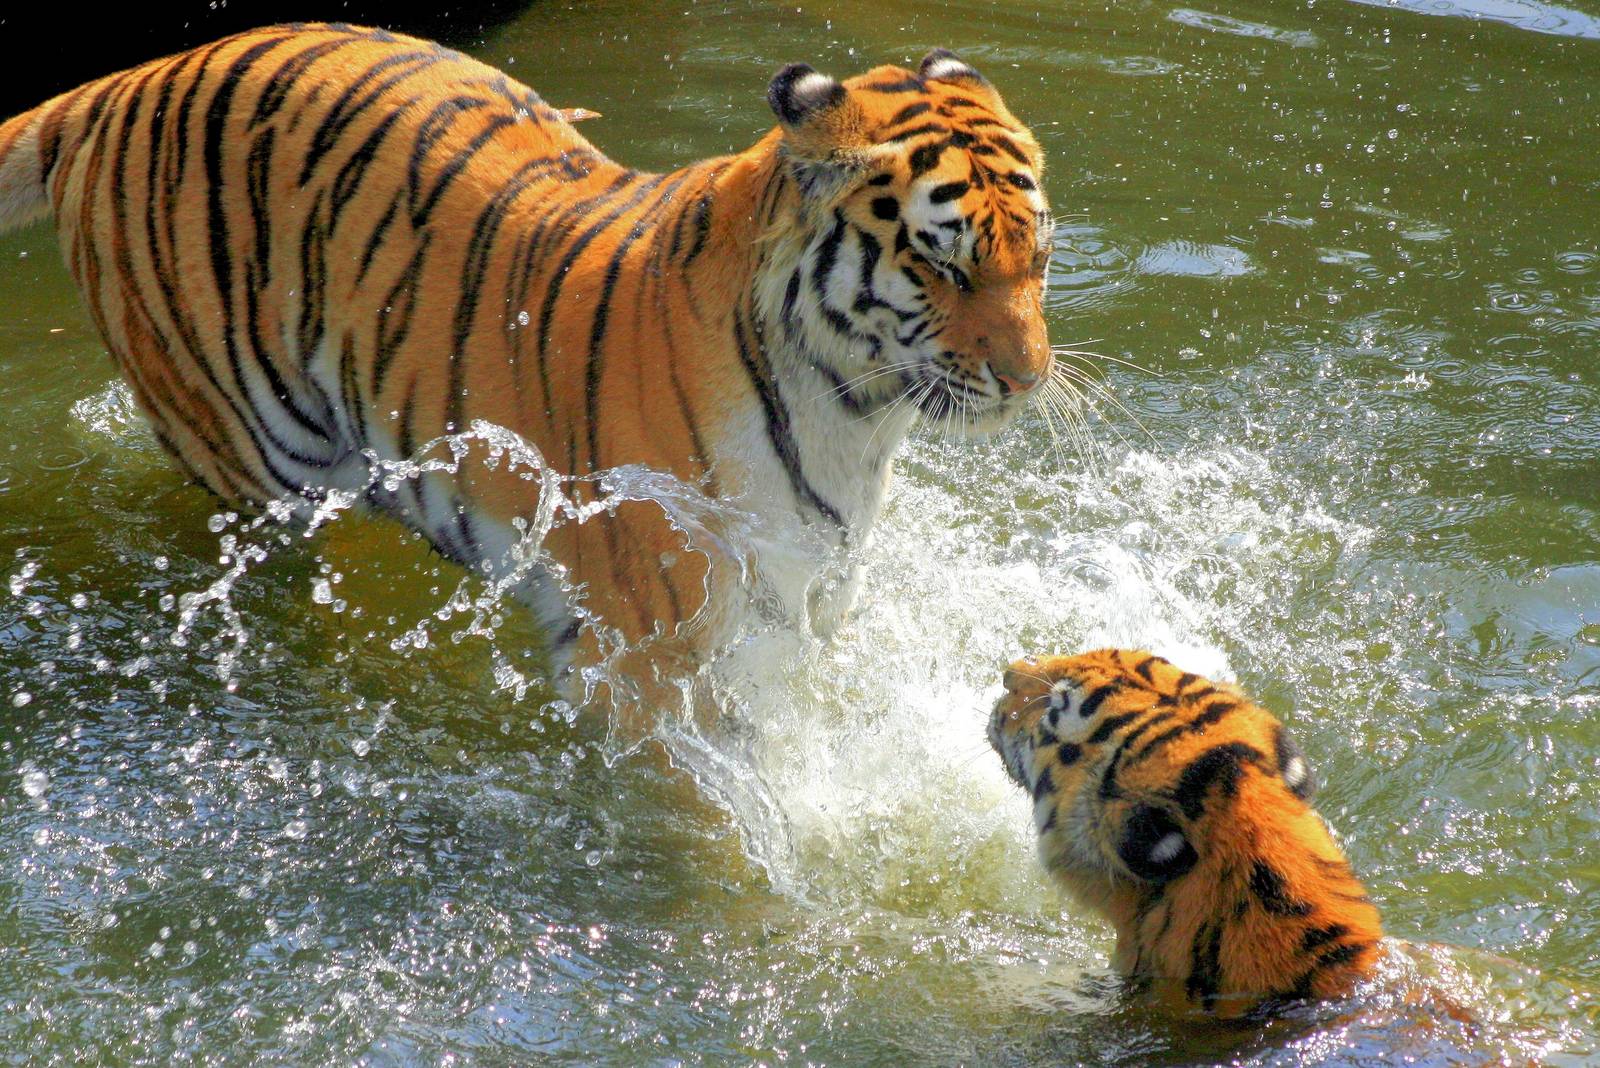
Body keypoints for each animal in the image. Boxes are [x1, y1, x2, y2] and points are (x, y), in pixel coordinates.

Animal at [0, 23, 1054, 684]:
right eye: (944, 265)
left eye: (1037, 255)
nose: (1029, 380)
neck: (851, 414)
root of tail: (126, 82)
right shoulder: (668, 655)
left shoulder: (815, 603)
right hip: (253, 459)